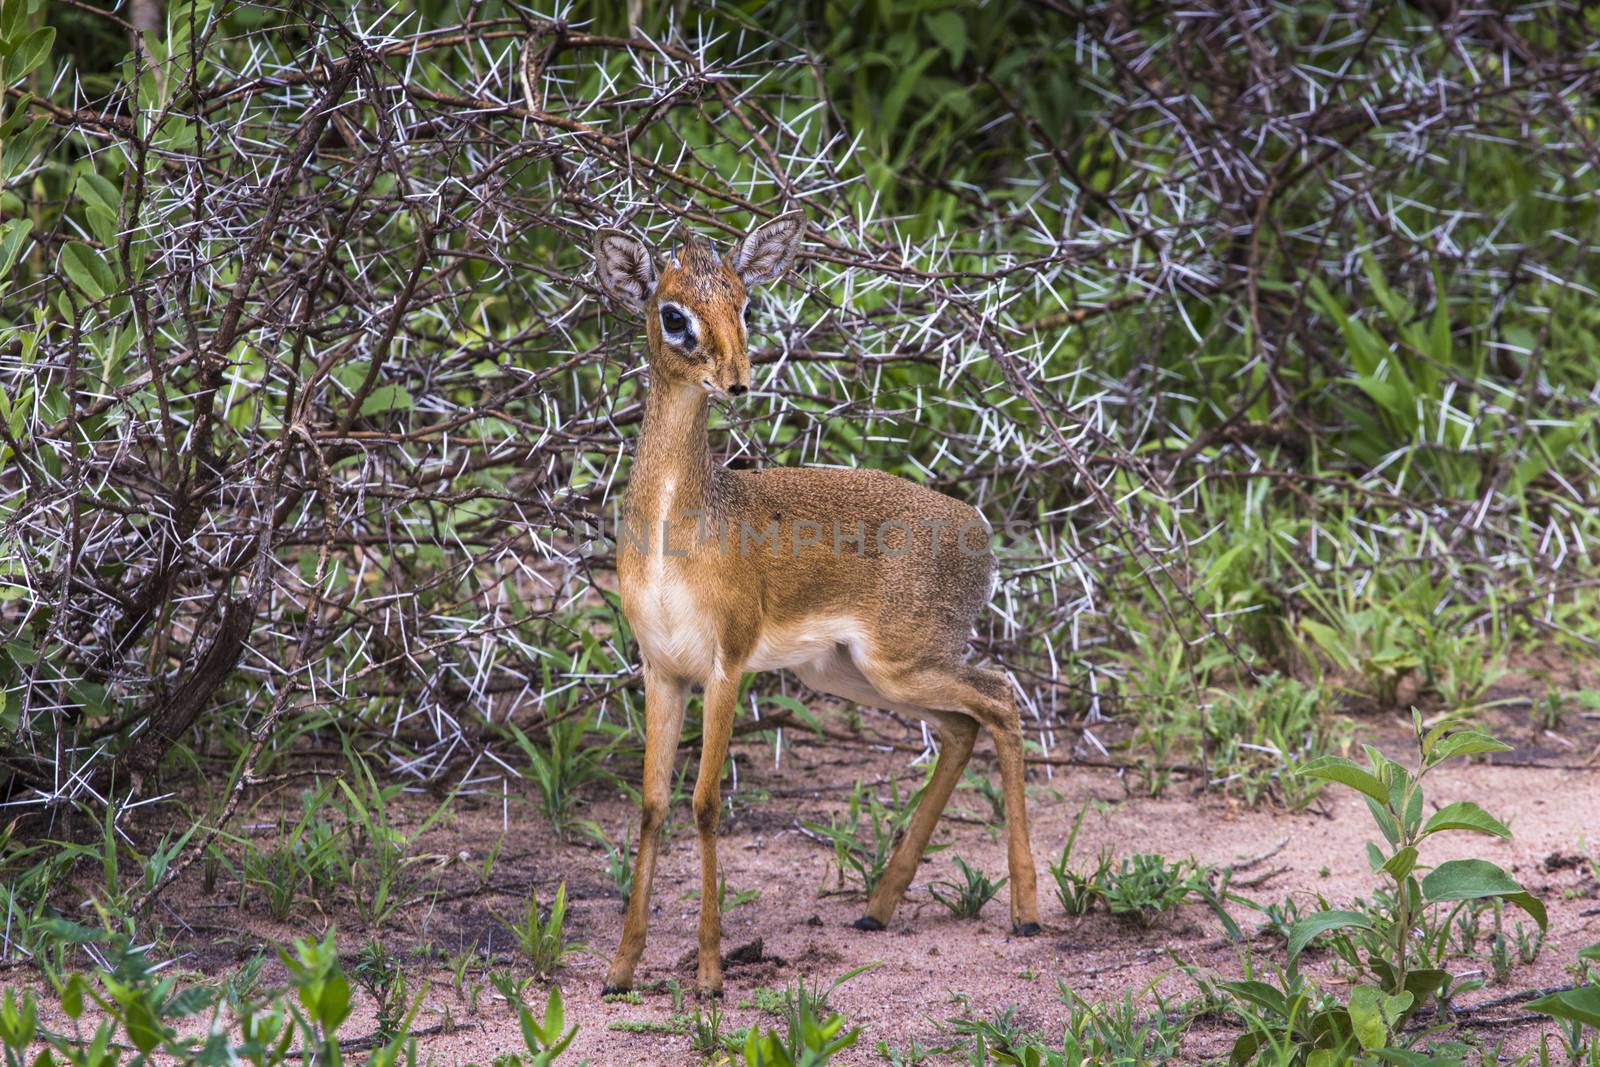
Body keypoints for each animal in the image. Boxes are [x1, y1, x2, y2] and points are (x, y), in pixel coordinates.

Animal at [595, 212, 1043, 998]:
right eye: (674, 314)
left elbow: (705, 804)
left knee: (1001, 696)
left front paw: (710, 974)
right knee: (964, 726)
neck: (677, 527)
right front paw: (621, 968)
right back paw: (878, 907)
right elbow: (651, 805)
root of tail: (980, 529)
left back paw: (1025, 913)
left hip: (903, 663)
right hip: (849, 674)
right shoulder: (661, 670)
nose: (738, 380)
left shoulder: (725, 666)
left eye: (745, 303)